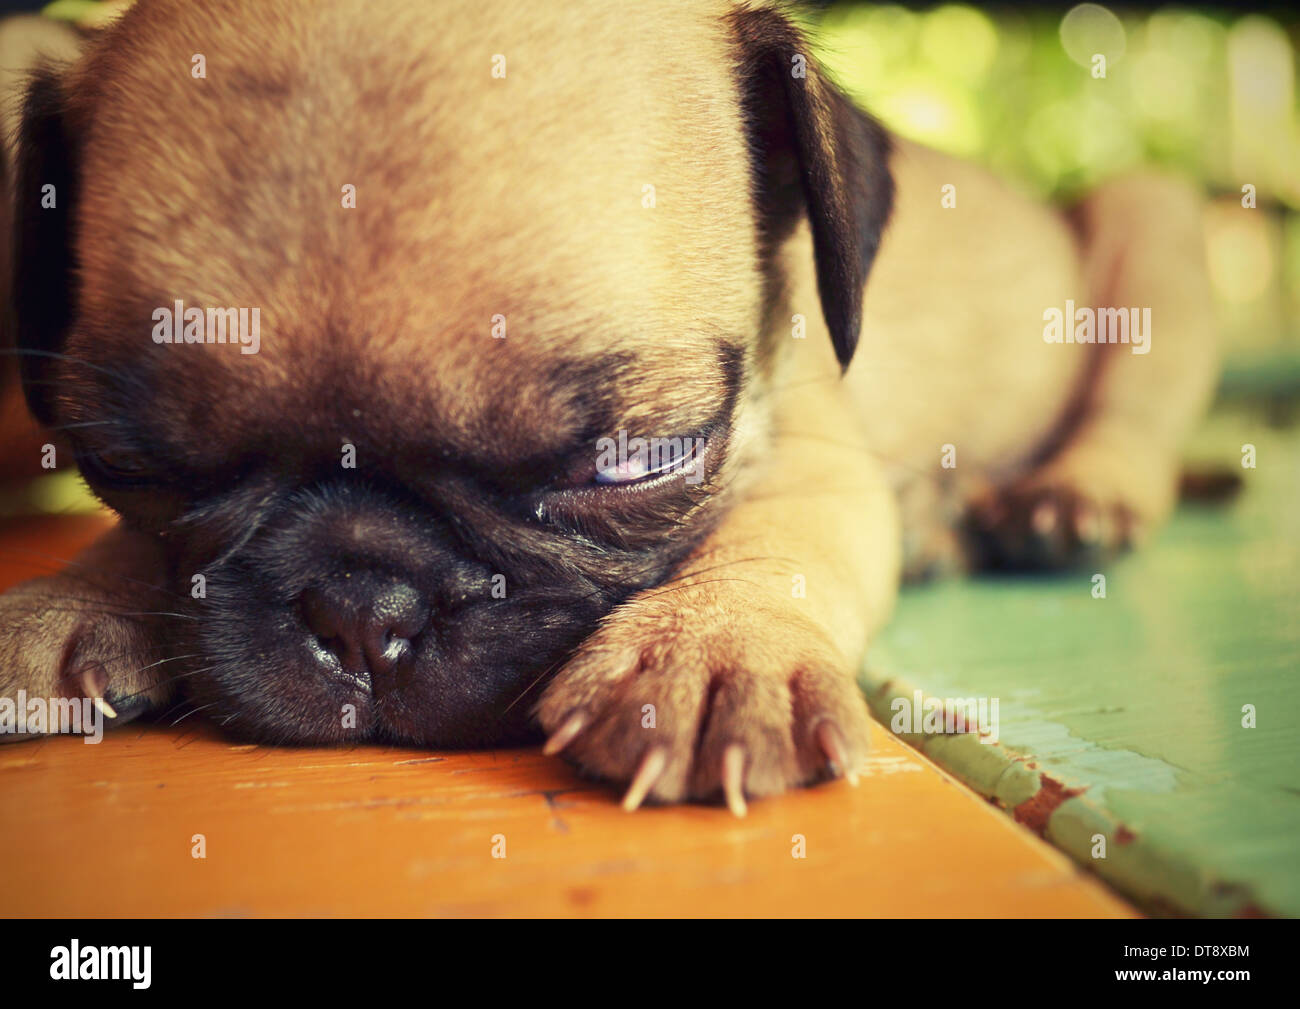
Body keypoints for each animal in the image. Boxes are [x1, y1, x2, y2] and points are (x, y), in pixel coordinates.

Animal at [2, 0, 1216, 806]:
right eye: (140, 469)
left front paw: (714, 647)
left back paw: (1069, 501)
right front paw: (70, 598)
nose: (361, 609)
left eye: (634, 460)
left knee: (1132, 416)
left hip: (1152, 232)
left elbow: (775, 543)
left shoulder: (814, 459)